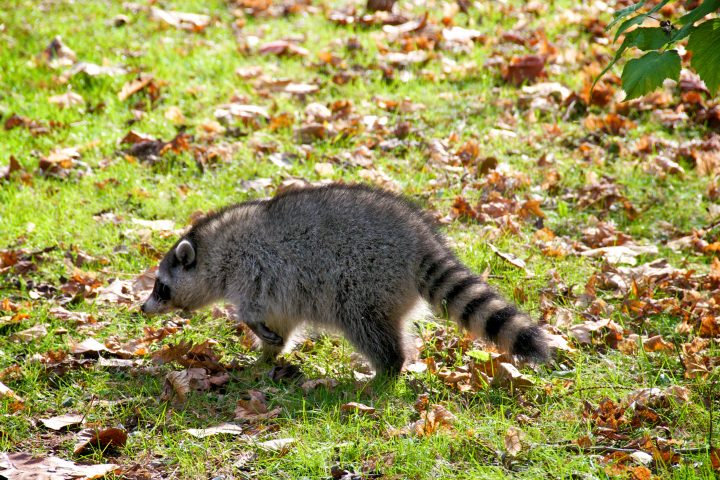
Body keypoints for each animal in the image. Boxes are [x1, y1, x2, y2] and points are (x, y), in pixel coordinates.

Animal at [141, 184, 549, 375]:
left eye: (161, 286)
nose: (144, 308)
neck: (214, 251)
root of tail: (420, 239)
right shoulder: (279, 291)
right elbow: (281, 323)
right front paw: (266, 354)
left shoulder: (253, 271)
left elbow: (253, 311)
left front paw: (254, 328)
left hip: (365, 279)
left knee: (368, 327)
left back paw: (388, 366)